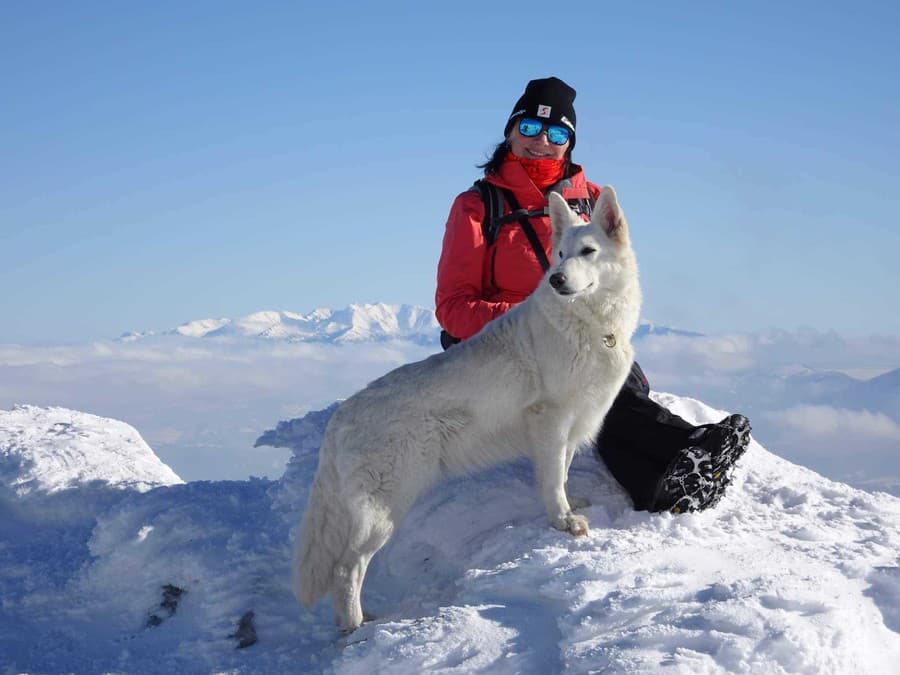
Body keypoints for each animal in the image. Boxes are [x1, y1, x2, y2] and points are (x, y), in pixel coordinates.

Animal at [296, 189, 640, 632]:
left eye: (587, 251)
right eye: (560, 255)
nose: (557, 279)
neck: (590, 324)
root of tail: (339, 419)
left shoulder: (568, 425)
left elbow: (560, 472)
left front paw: (568, 507)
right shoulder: (550, 419)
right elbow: (551, 480)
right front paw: (563, 521)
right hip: (387, 506)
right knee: (346, 569)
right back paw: (357, 629)